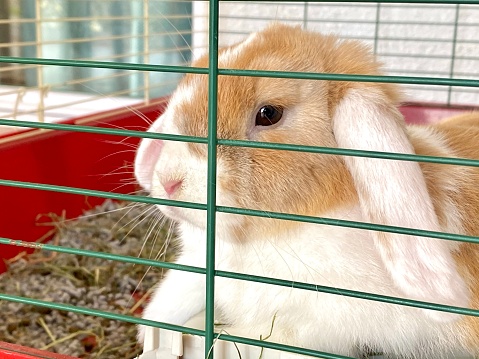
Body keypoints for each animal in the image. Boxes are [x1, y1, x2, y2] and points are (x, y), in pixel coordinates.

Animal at [133, 23, 479, 358]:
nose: (168, 180)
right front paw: (154, 330)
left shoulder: (331, 320)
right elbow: (179, 294)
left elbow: (267, 337)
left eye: (269, 113)